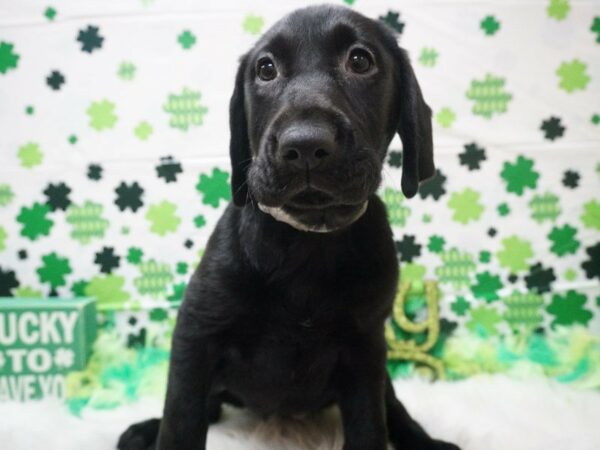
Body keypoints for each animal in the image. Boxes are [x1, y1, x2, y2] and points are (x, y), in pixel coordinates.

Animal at [119, 4, 462, 450]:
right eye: (266, 69)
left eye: (360, 60)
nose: (305, 146)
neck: (307, 241)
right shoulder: (196, 334)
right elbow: (180, 419)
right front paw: (161, 429)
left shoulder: (366, 350)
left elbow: (371, 424)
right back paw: (144, 429)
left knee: (395, 408)